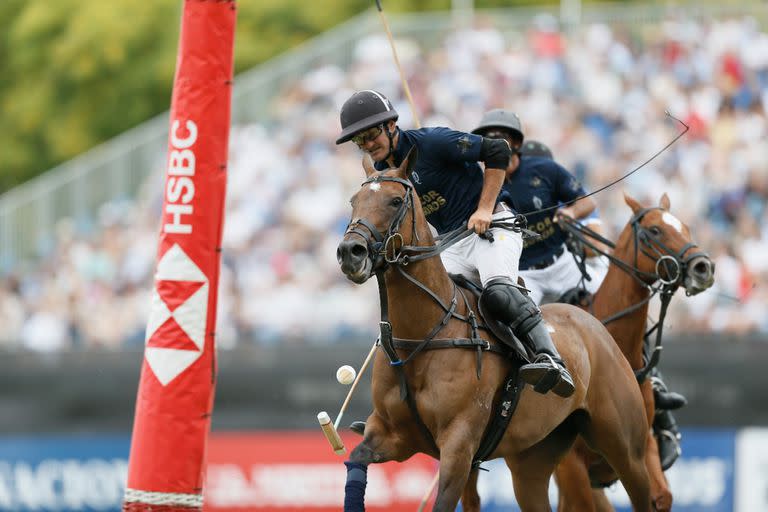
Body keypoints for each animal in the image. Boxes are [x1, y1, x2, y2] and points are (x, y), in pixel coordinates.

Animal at [338, 149, 656, 512]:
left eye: (394, 201)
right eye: (353, 201)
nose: (350, 252)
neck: (423, 335)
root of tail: (593, 323)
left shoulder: (459, 445)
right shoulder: (389, 434)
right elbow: (355, 459)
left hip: (626, 446)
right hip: (535, 458)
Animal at [548, 193, 716, 512]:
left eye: (686, 227)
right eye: (654, 230)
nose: (703, 267)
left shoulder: (641, 448)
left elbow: (660, 497)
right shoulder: (570, 467)